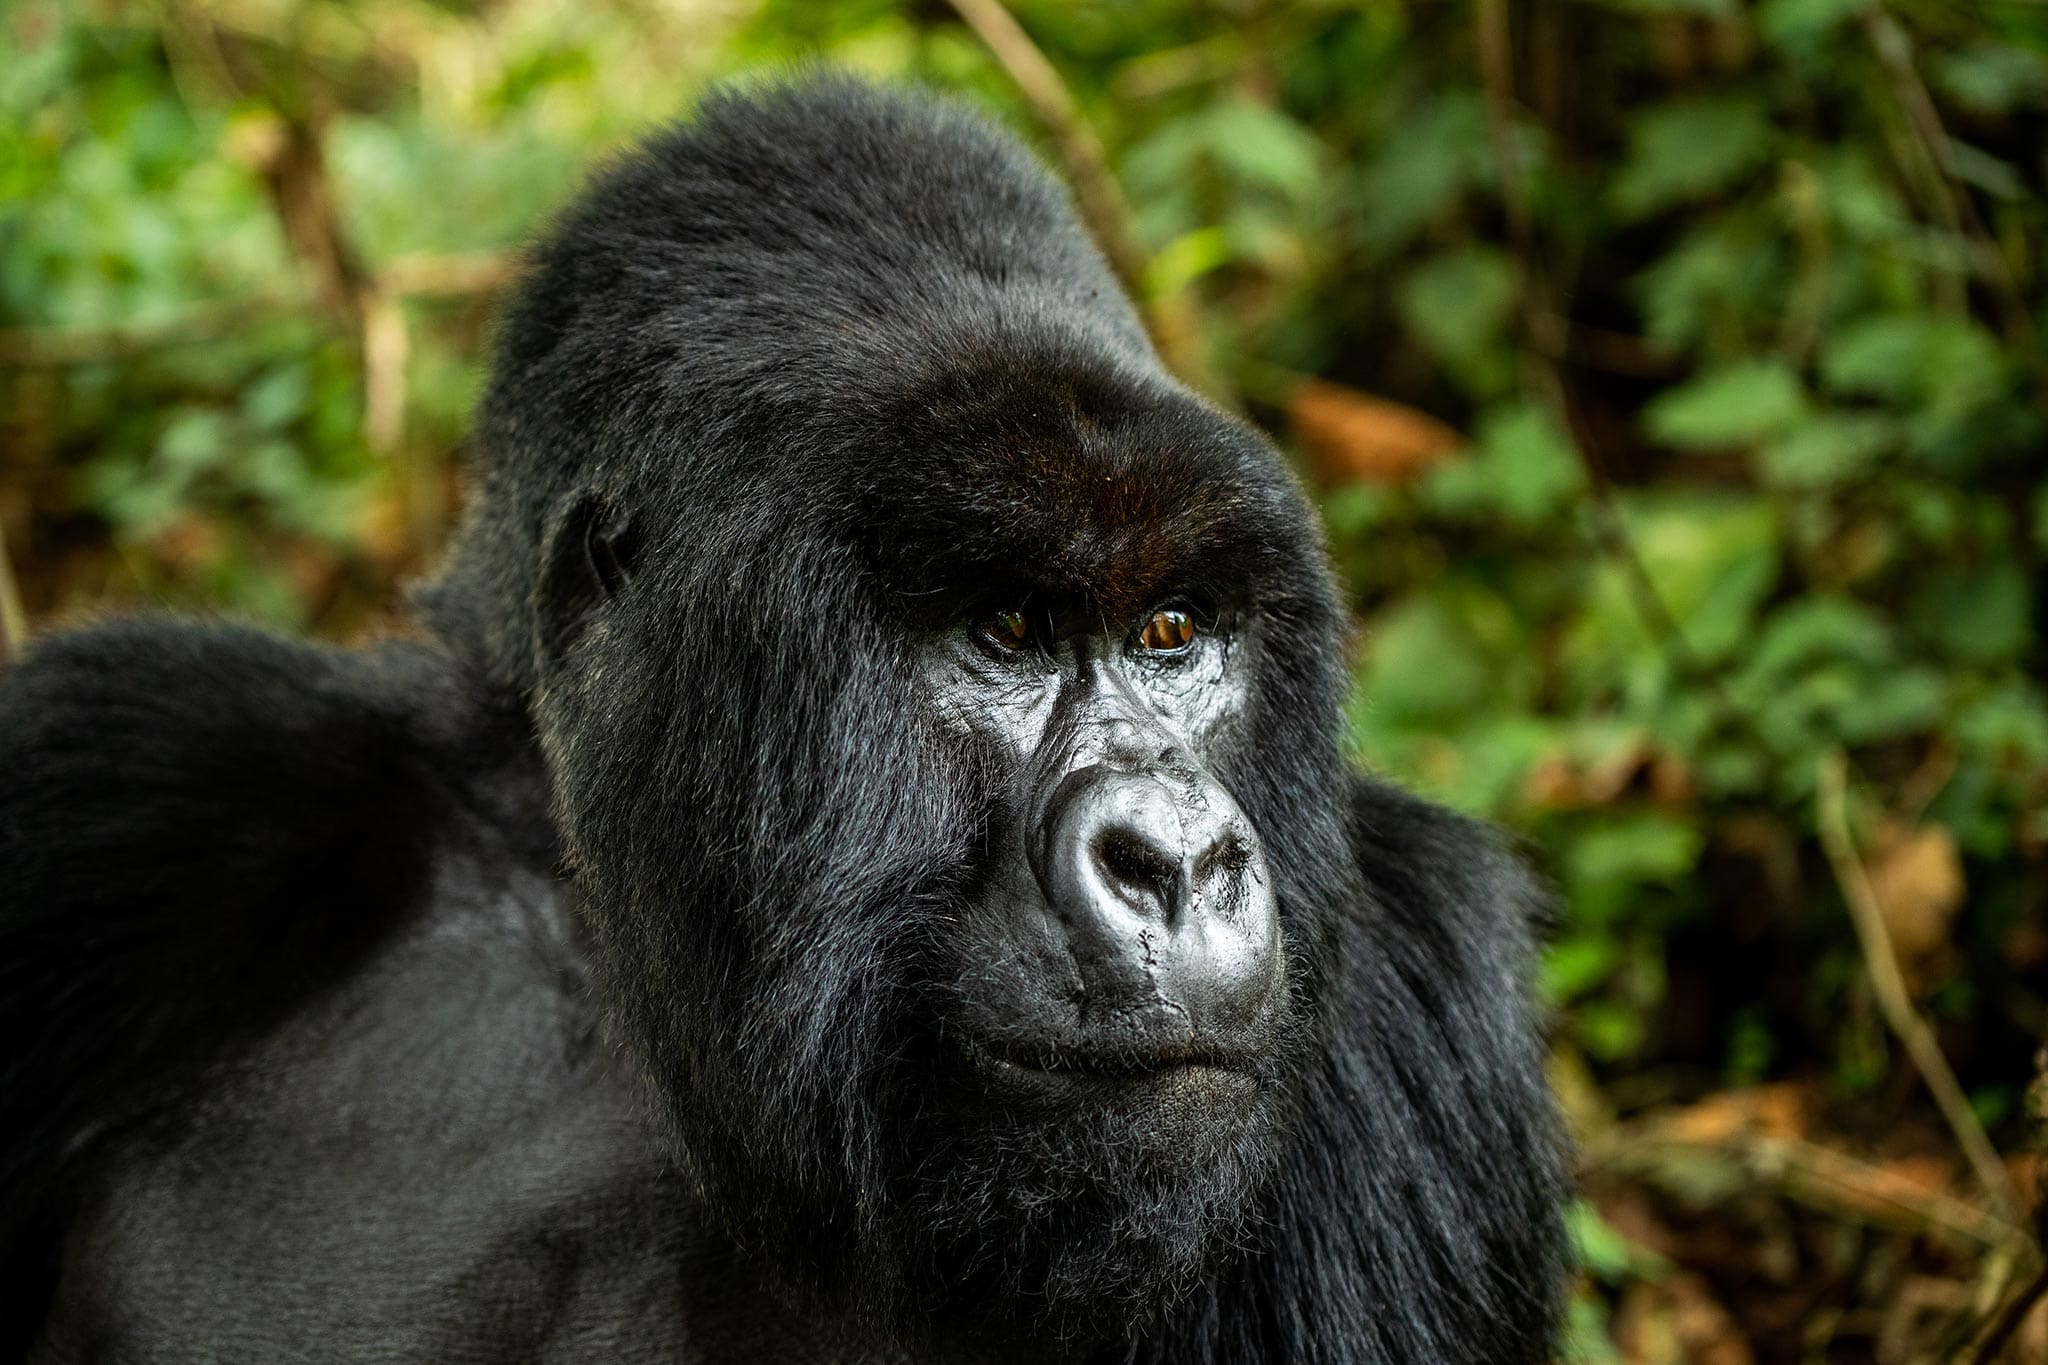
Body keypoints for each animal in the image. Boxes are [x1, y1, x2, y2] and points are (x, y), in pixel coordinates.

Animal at [0, 77, 1564, 1365]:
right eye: (1004, 629)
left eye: (1171, 631)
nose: (1176, 860)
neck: (615, 947)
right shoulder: (146, 771)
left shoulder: (1409, 982)